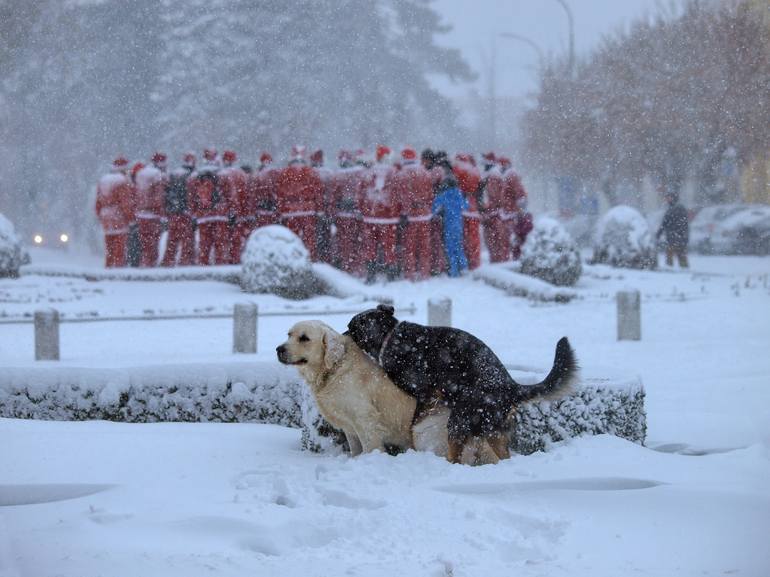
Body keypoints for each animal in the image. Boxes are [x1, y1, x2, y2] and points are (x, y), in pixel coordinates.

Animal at [276, 320, 416, 454]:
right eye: (289, 335)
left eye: (304, 338)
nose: (278, 349)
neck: (334, 368)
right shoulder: (349, 426)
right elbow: (355, 450)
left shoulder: (365, 419)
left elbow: (370, 448)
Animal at [346, 304, 576, 462]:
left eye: (351, 328)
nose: (343, 333)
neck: (391, 337)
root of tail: (512, 386)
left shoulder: (421, 390)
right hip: (494, 431)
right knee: (502, 455)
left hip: (460, 420)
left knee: (456, 457)